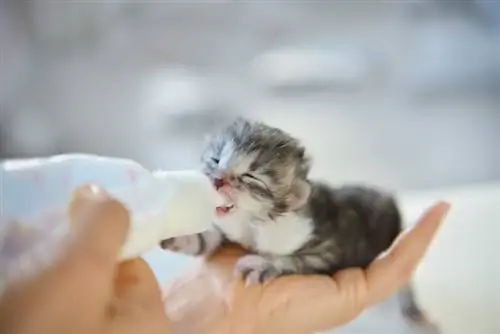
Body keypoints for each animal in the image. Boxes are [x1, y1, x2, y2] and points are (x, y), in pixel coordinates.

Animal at [161, 119, 434, 326]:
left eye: (250, 177)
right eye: (215, 160)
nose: (217, 179)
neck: (253, 223)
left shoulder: (327, 246)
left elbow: (299, 260)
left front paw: (264, 265)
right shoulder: (228, 229)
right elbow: (210, 238)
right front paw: (177, 232)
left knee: (406, 284)